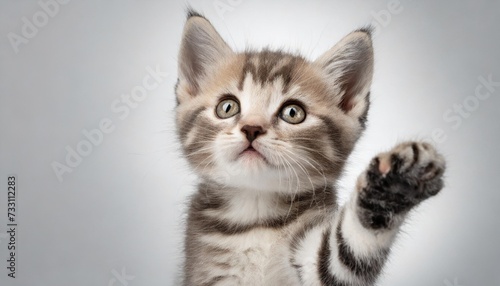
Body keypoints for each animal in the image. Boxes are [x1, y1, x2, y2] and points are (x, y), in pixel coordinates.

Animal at [175, 9, 446, 286]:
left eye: (293, 112)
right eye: (227, 107)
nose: (252, 128)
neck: (256, 212)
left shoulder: (315, 262)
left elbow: (342, 255)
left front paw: (393, 186)